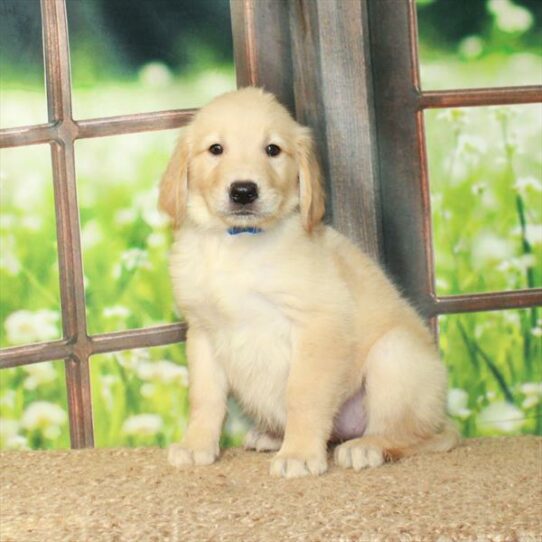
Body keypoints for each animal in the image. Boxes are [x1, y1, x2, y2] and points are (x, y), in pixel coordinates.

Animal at [159, 86, 462, 480]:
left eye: (273, 150)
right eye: (215, 149)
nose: (243, 191)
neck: (237, 244)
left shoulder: (318, 325)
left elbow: (302, 394)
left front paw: (300, 454)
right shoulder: (203, 333)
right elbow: (204, 398)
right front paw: (197, 445)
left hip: (394, 356)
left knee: (418, 436)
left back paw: (367, 447)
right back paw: (272, 436)